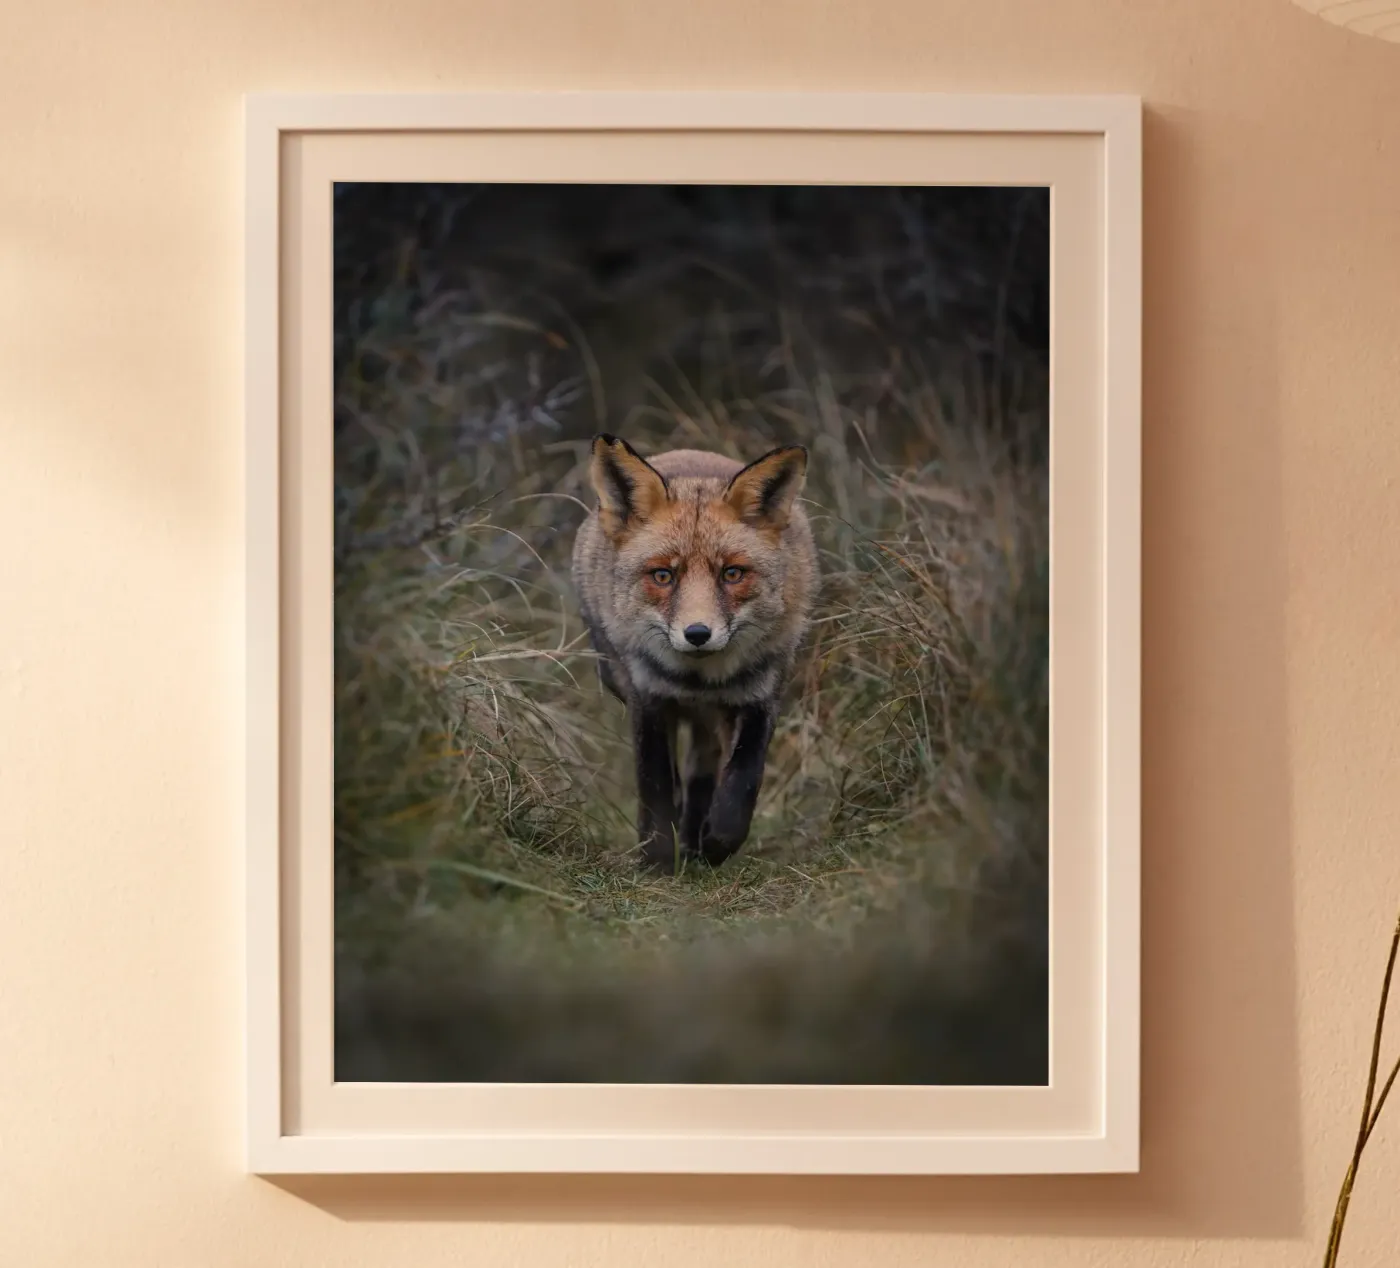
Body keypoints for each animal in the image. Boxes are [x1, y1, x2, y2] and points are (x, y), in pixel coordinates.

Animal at [572, 434, 819, 873]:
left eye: (732, 573)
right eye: (663, 576)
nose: (698, 633)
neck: (698, 680)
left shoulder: (761, 696)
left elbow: (743, 780)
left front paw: (718, 841)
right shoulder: (648, 699)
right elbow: (655, 786)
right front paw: (657, 860)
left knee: (702, 771)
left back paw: (695, 838)